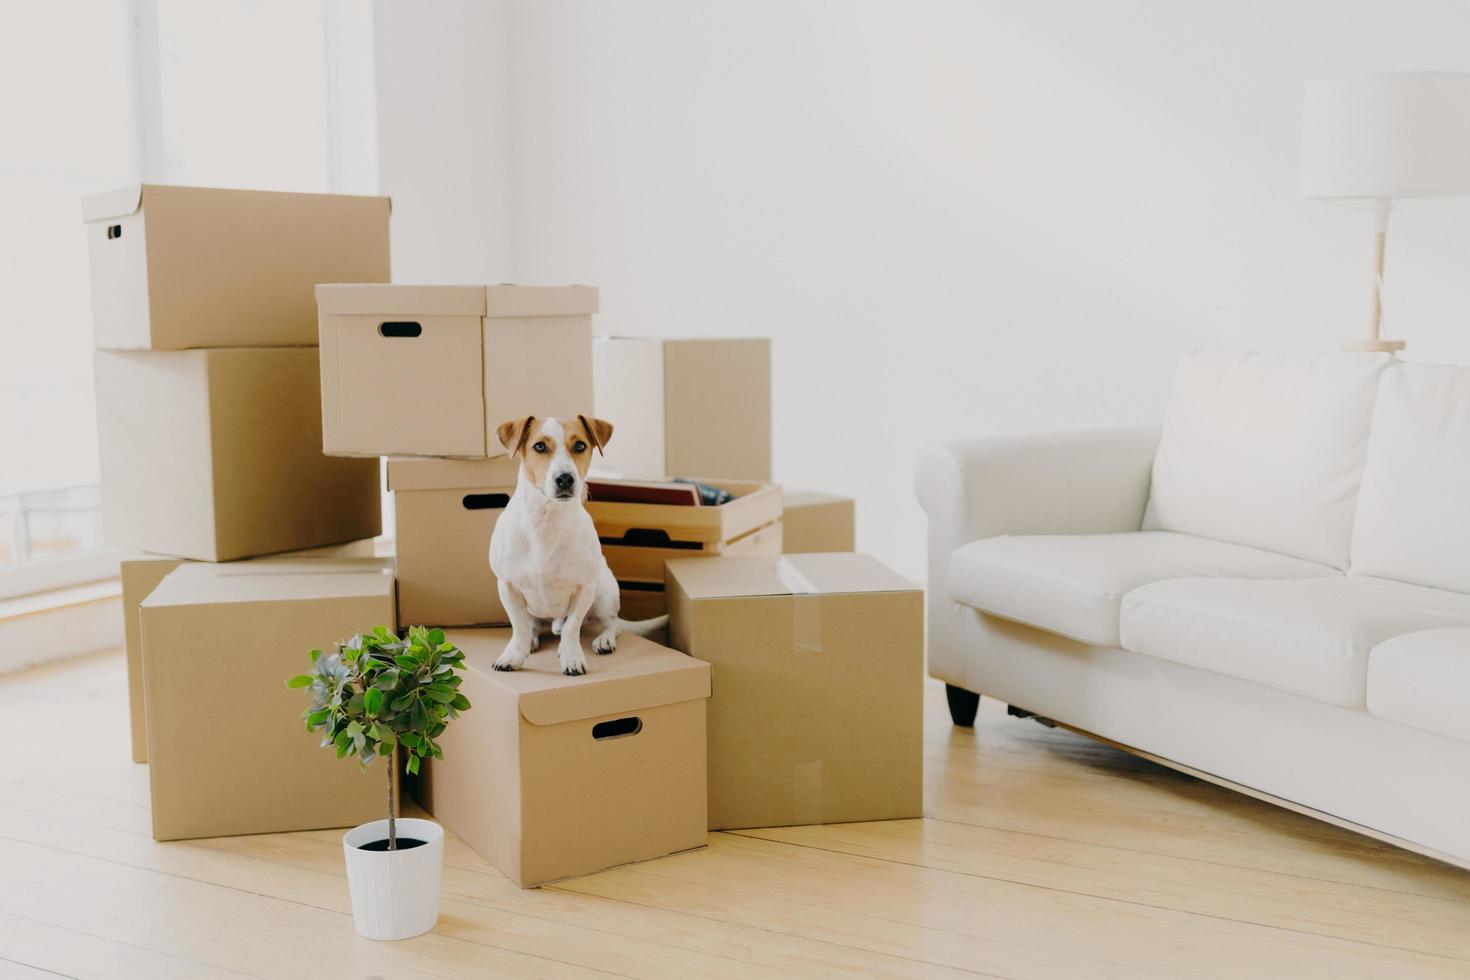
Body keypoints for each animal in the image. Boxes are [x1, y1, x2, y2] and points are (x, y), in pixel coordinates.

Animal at [485, 414, 670, 675]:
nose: (565, 478)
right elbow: (519, 628)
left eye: (580, 445)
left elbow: (572, 627)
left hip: (603, 592)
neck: (547, 518)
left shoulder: (584, 587)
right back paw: (533, 639)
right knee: (533, 626)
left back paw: (603, 639)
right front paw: (514, 654)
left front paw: (571, 656)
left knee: (612, 624)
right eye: (539, 446)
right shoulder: (508, 586)